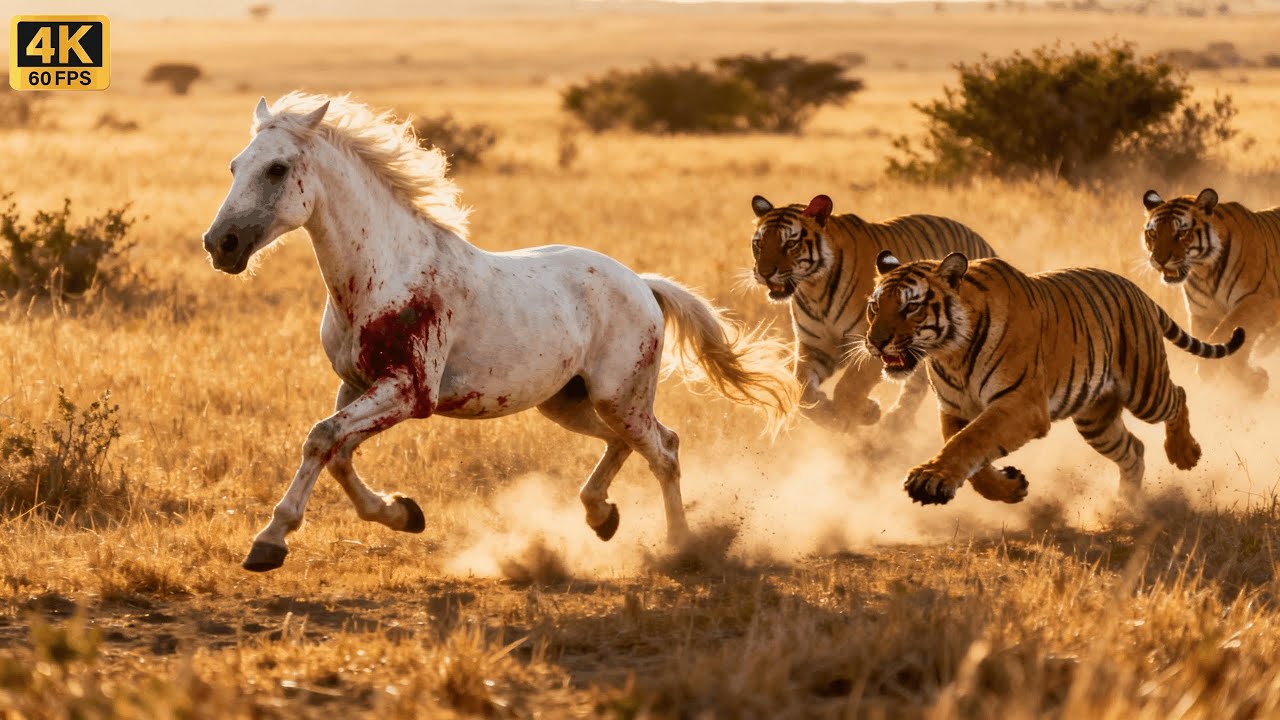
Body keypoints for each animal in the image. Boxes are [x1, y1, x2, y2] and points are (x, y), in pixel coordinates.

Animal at [201, 93, 798, 572]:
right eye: (233, 166)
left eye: (277, 169)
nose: (220, 245)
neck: (386, 272)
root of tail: (642, 285)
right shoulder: (357, 384)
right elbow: (339, 453)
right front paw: (404, 513)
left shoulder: (409, 391)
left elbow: (321, 438)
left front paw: (269, 543)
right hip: (569, 402)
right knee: (631, 442)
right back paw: (601, 517)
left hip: (617, 394)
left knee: (664, 449)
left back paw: (680, 547)